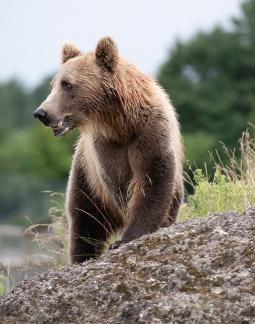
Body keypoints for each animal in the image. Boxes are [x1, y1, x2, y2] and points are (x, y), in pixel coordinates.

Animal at [33, 36, 183, 264]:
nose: (41, 113)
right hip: (85, 174)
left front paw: (130, 236)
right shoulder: (105, 148)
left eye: (67, 84)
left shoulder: (151, 133)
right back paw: (82, 256)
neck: (122, 125)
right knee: (85, 218)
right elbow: (118, 185)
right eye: (53, 84)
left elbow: (152, 180)